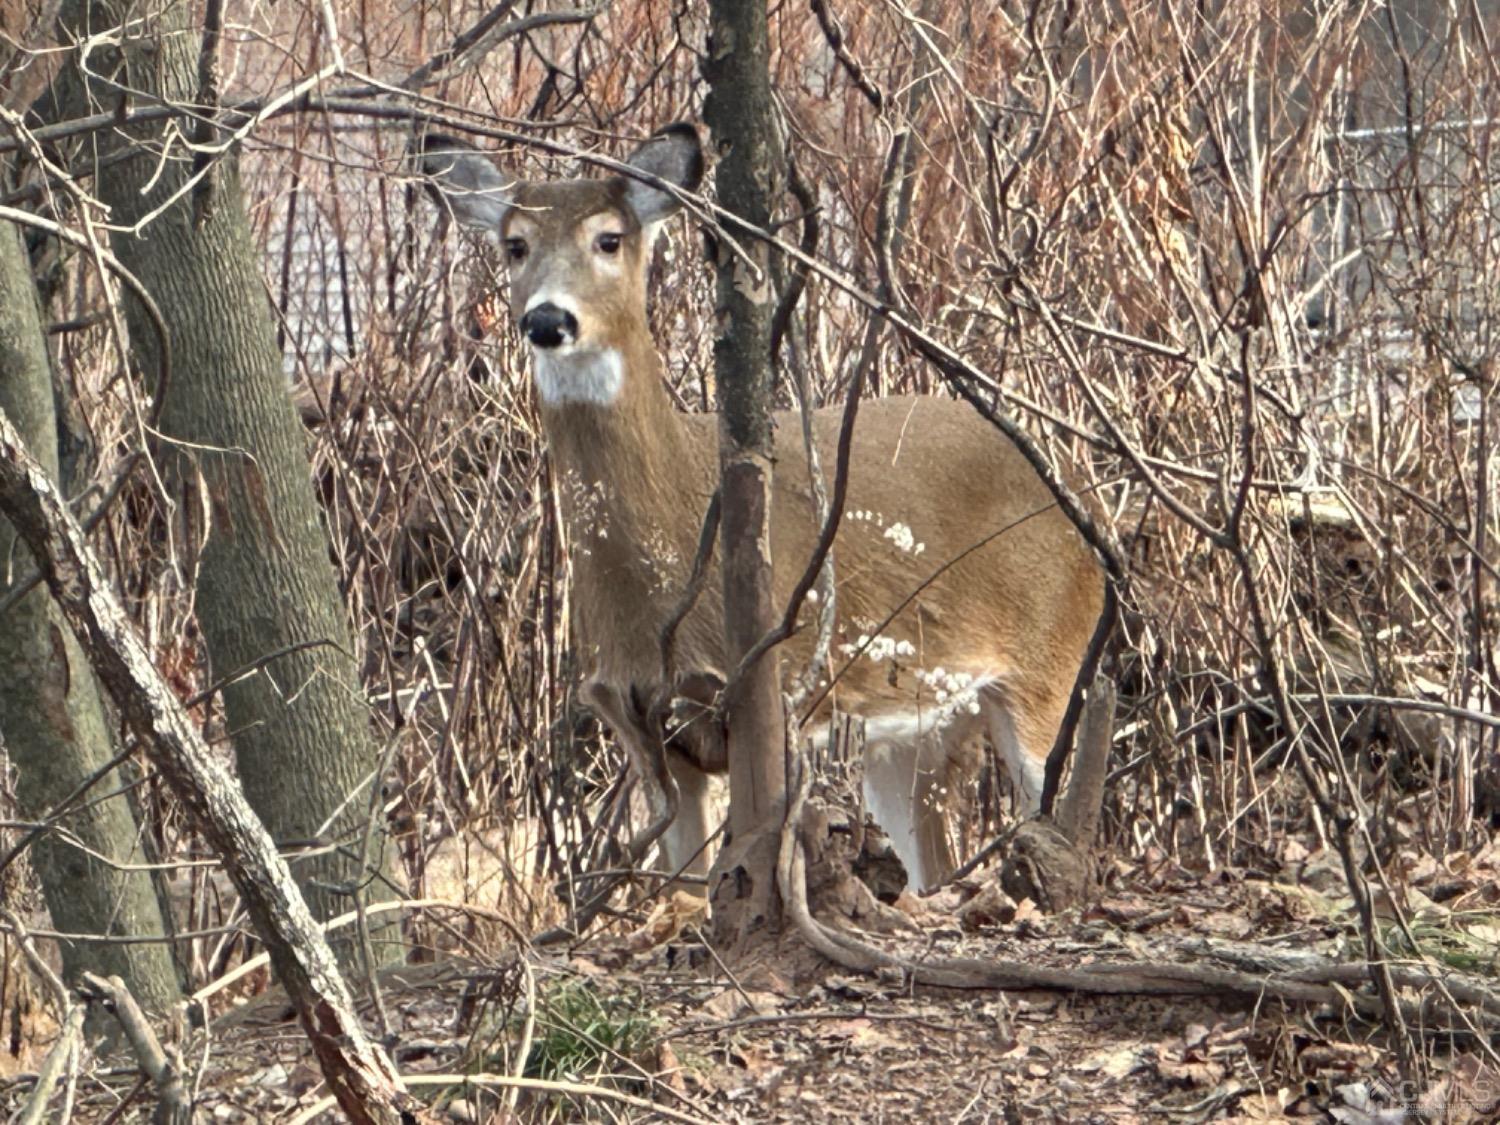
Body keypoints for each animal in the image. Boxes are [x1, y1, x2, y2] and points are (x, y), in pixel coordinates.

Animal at [417, 125, 1110, 900]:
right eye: (515, 244)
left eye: (608, 238)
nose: (546, 319)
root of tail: (1082, 504)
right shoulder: (637, 724)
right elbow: (682, 888)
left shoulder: (773, 689)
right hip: (917, 731)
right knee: (929, 855)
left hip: (1049, 662)